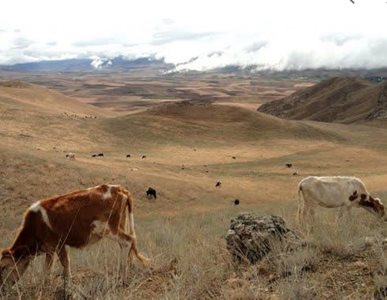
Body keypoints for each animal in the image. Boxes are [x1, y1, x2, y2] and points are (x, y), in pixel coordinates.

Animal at [0, 184, 149, 288]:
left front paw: (69, 287)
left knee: (128, 241)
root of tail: (118, 188)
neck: (35, 224)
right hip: (120, 225)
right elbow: (47, 269)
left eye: (4, 267)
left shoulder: (60, 244)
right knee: (126, 244)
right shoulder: (50, 250)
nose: (2, 287)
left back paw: (123, 277)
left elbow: (65, 264)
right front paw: (44, 285)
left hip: (109, 229)